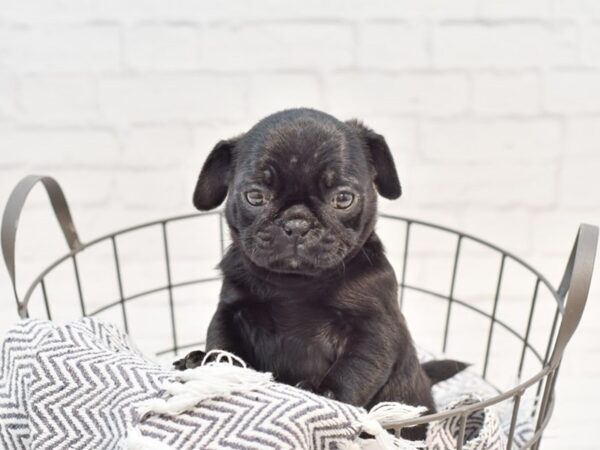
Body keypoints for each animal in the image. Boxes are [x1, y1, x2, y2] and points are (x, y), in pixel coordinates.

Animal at [176, 109, 466, 440]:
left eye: (343, 199)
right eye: (255, 196)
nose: (297, 223)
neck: (294, 285)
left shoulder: (372, 331)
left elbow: (352, 370)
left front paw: (323, 394)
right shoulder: (231, 313)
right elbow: (222, 344)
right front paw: (211, 365)